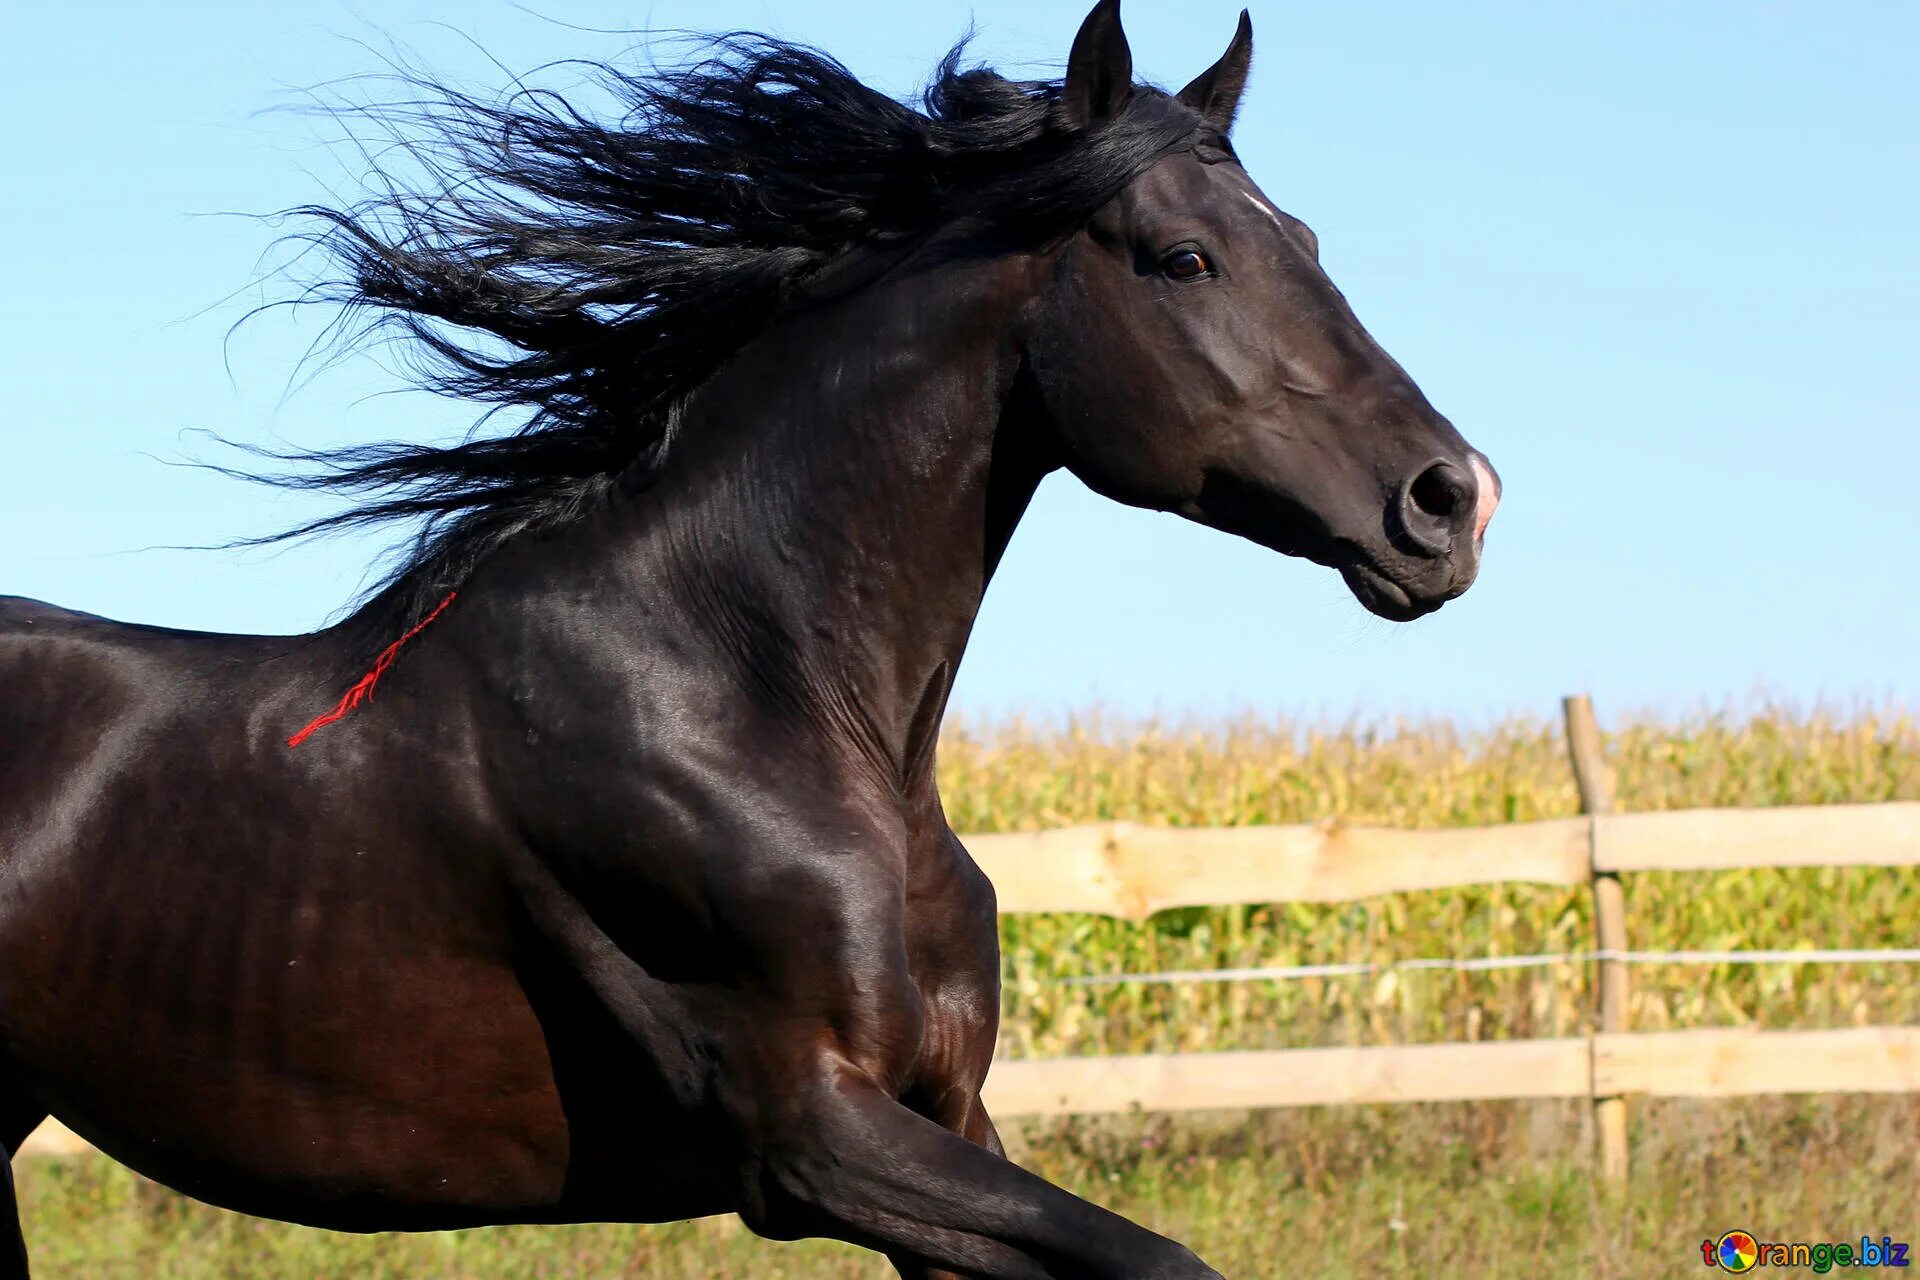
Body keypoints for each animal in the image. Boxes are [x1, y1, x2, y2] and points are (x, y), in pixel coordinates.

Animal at [0, 5, 1497, 1274]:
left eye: (1309, 241)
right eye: (1186, 258)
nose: (1452, 499)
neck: (744, 701)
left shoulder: (946, 1108)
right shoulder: (809, 1137)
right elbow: (1163, 1258)